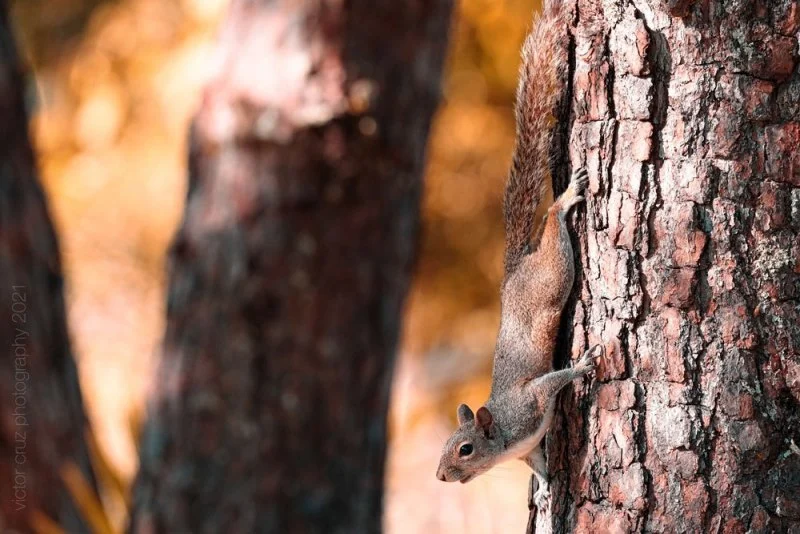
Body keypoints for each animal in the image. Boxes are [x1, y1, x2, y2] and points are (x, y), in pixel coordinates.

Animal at [435, 0, 601, 510]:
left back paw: (564, 201)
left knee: (552, 221)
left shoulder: (530, 404)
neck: (504, 439)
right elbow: (539, 465)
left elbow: (554, 382)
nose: (440, 476)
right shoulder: (528, 449)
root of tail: (512, 272)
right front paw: (546, 490)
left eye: (465, 449)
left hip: (555, 274)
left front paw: (583, 365)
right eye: (448, 443)